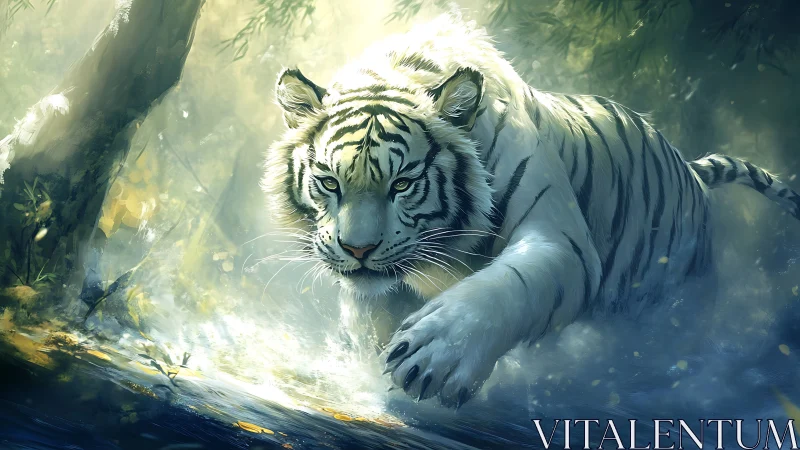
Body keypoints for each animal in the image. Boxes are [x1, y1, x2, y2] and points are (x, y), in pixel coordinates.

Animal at [262, 12, 800, 408]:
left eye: (403, 184)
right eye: (329, 182)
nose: (358, 249)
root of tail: (691, 169)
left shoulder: (561, 240)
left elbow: (508, 287)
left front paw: (437, 357)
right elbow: (370, 316)